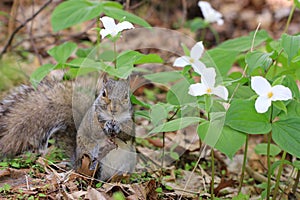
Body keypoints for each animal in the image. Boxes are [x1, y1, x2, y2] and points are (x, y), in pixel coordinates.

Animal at [0, 74, 136, 180]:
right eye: (104, 93)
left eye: (126, 96)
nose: (114, 109)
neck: (113, 118)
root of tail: (76, 163)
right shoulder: (92, 121)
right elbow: (95, 132)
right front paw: (107, 126)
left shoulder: (130, 121)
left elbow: (128, 134)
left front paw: (118, 127)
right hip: (93, 162)